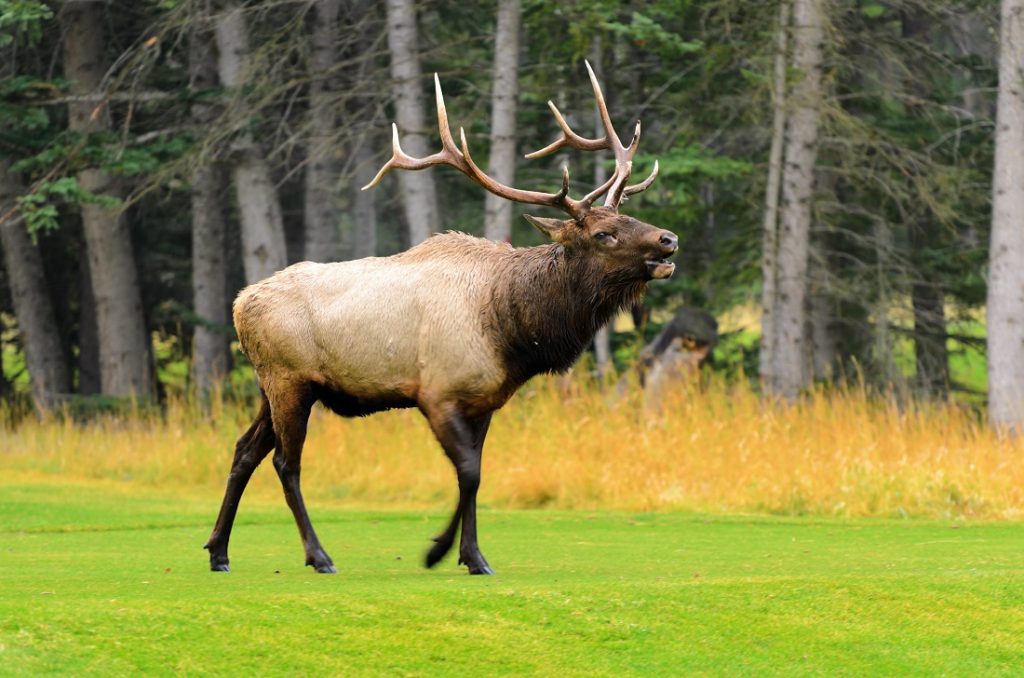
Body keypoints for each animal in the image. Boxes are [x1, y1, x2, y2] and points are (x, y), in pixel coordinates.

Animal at [203, 61, 675, 577]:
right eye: (604, 233)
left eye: (630, 217)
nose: (669, 239)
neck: (513, 330)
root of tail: (239, 305)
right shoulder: (436, 392)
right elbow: (467, 472)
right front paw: (437, 552)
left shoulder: (484, 401)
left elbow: (476, 474)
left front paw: (474, 557)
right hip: (290, 381)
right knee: (285, 464)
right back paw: (319, 556)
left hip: (271, 385)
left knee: (244, 450)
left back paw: (218, 551)